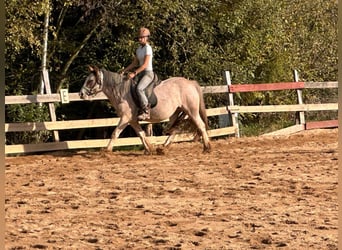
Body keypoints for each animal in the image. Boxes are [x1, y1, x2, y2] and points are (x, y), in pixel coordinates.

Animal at [79, 65, 211, 153]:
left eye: (90, 81)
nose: (81, 94)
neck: (121, 91)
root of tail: (190, 83)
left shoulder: (125, 118)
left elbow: (115, 133)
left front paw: (106, 150)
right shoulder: (132, 120)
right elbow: (141, 134)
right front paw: (150, 149)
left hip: (192, 111)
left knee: (200, 125)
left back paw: (207, 147)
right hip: (178, 112)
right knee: (174, 129)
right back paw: (163, 147)